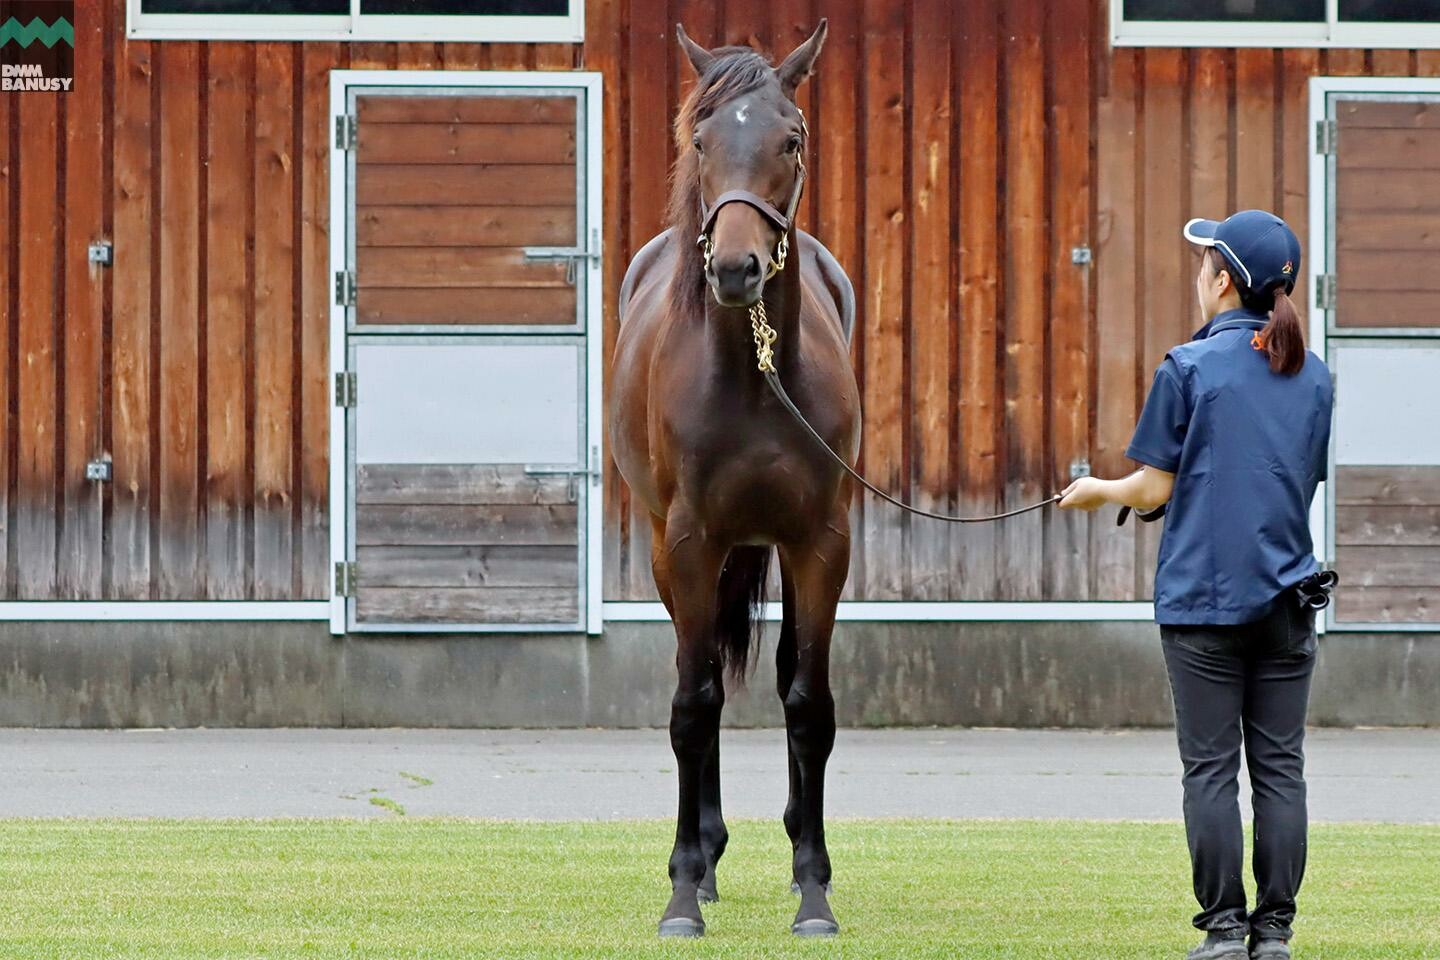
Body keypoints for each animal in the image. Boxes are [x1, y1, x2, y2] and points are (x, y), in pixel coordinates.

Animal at [604, 18, 858, 944]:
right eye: (702, 140)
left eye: (793, 138)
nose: (738, 271)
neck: (751, 378)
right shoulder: (687, 543)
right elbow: (693, 704)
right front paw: (682, 890)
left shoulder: (822, 543)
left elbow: (808, 703)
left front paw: (815, 891)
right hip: (672, 551)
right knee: (704, 670)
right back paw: (707, 860)